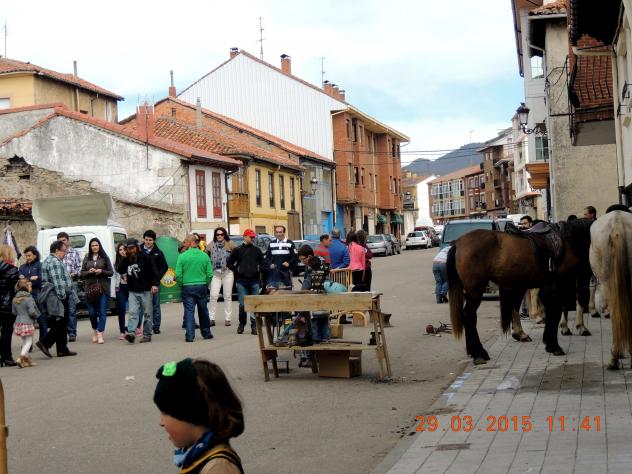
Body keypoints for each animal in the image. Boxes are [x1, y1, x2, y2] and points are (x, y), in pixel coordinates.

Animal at [446, 219, 593, 365]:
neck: (567, 241)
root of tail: (458, 242)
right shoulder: (562, 283)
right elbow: (556, 312)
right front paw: (555, 346)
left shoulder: (550, 286)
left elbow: (552, 312)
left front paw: (549, 343)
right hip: (475, 291)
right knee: (469, 316)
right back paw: (479, 353)